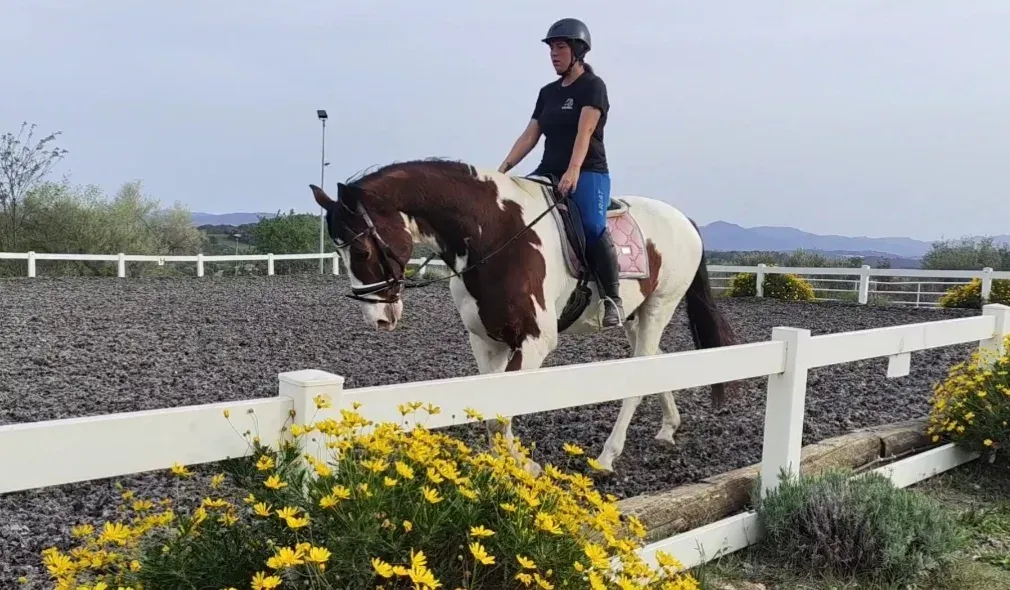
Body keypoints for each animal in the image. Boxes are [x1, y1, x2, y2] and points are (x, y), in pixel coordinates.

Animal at [309, 157, 737, 474]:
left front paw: (522, 466)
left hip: (659, 307)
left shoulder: (534, 342)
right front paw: (501, 463)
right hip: (635, 315)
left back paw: (606, 456)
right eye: (340, 250)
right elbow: (491, 411)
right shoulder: (486, 341)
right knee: (656, 364)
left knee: (638, 375)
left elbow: (503, 412)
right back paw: (668, 429)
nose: (379, 318)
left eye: (362, 250)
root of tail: (683, 219)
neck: (494, 233)